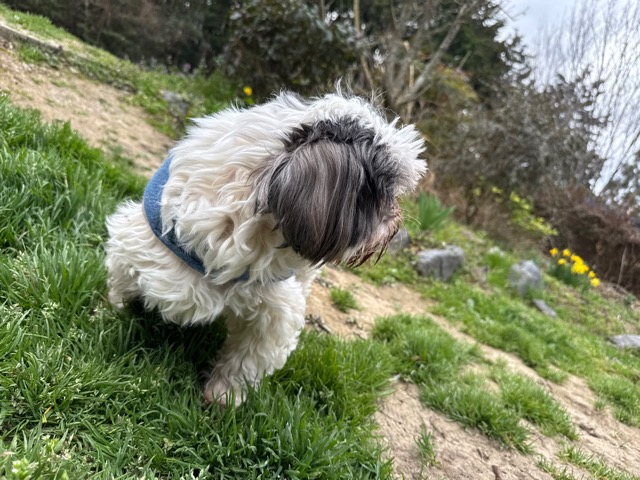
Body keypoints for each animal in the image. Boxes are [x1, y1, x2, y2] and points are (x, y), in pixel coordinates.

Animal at [105, 91, 426, 405]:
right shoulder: (136, 243)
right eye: (377, 193)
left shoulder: (275, 312)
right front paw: (112, 315)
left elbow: (244, 362)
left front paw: (222, 397)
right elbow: (120, 288)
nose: (395, 221)